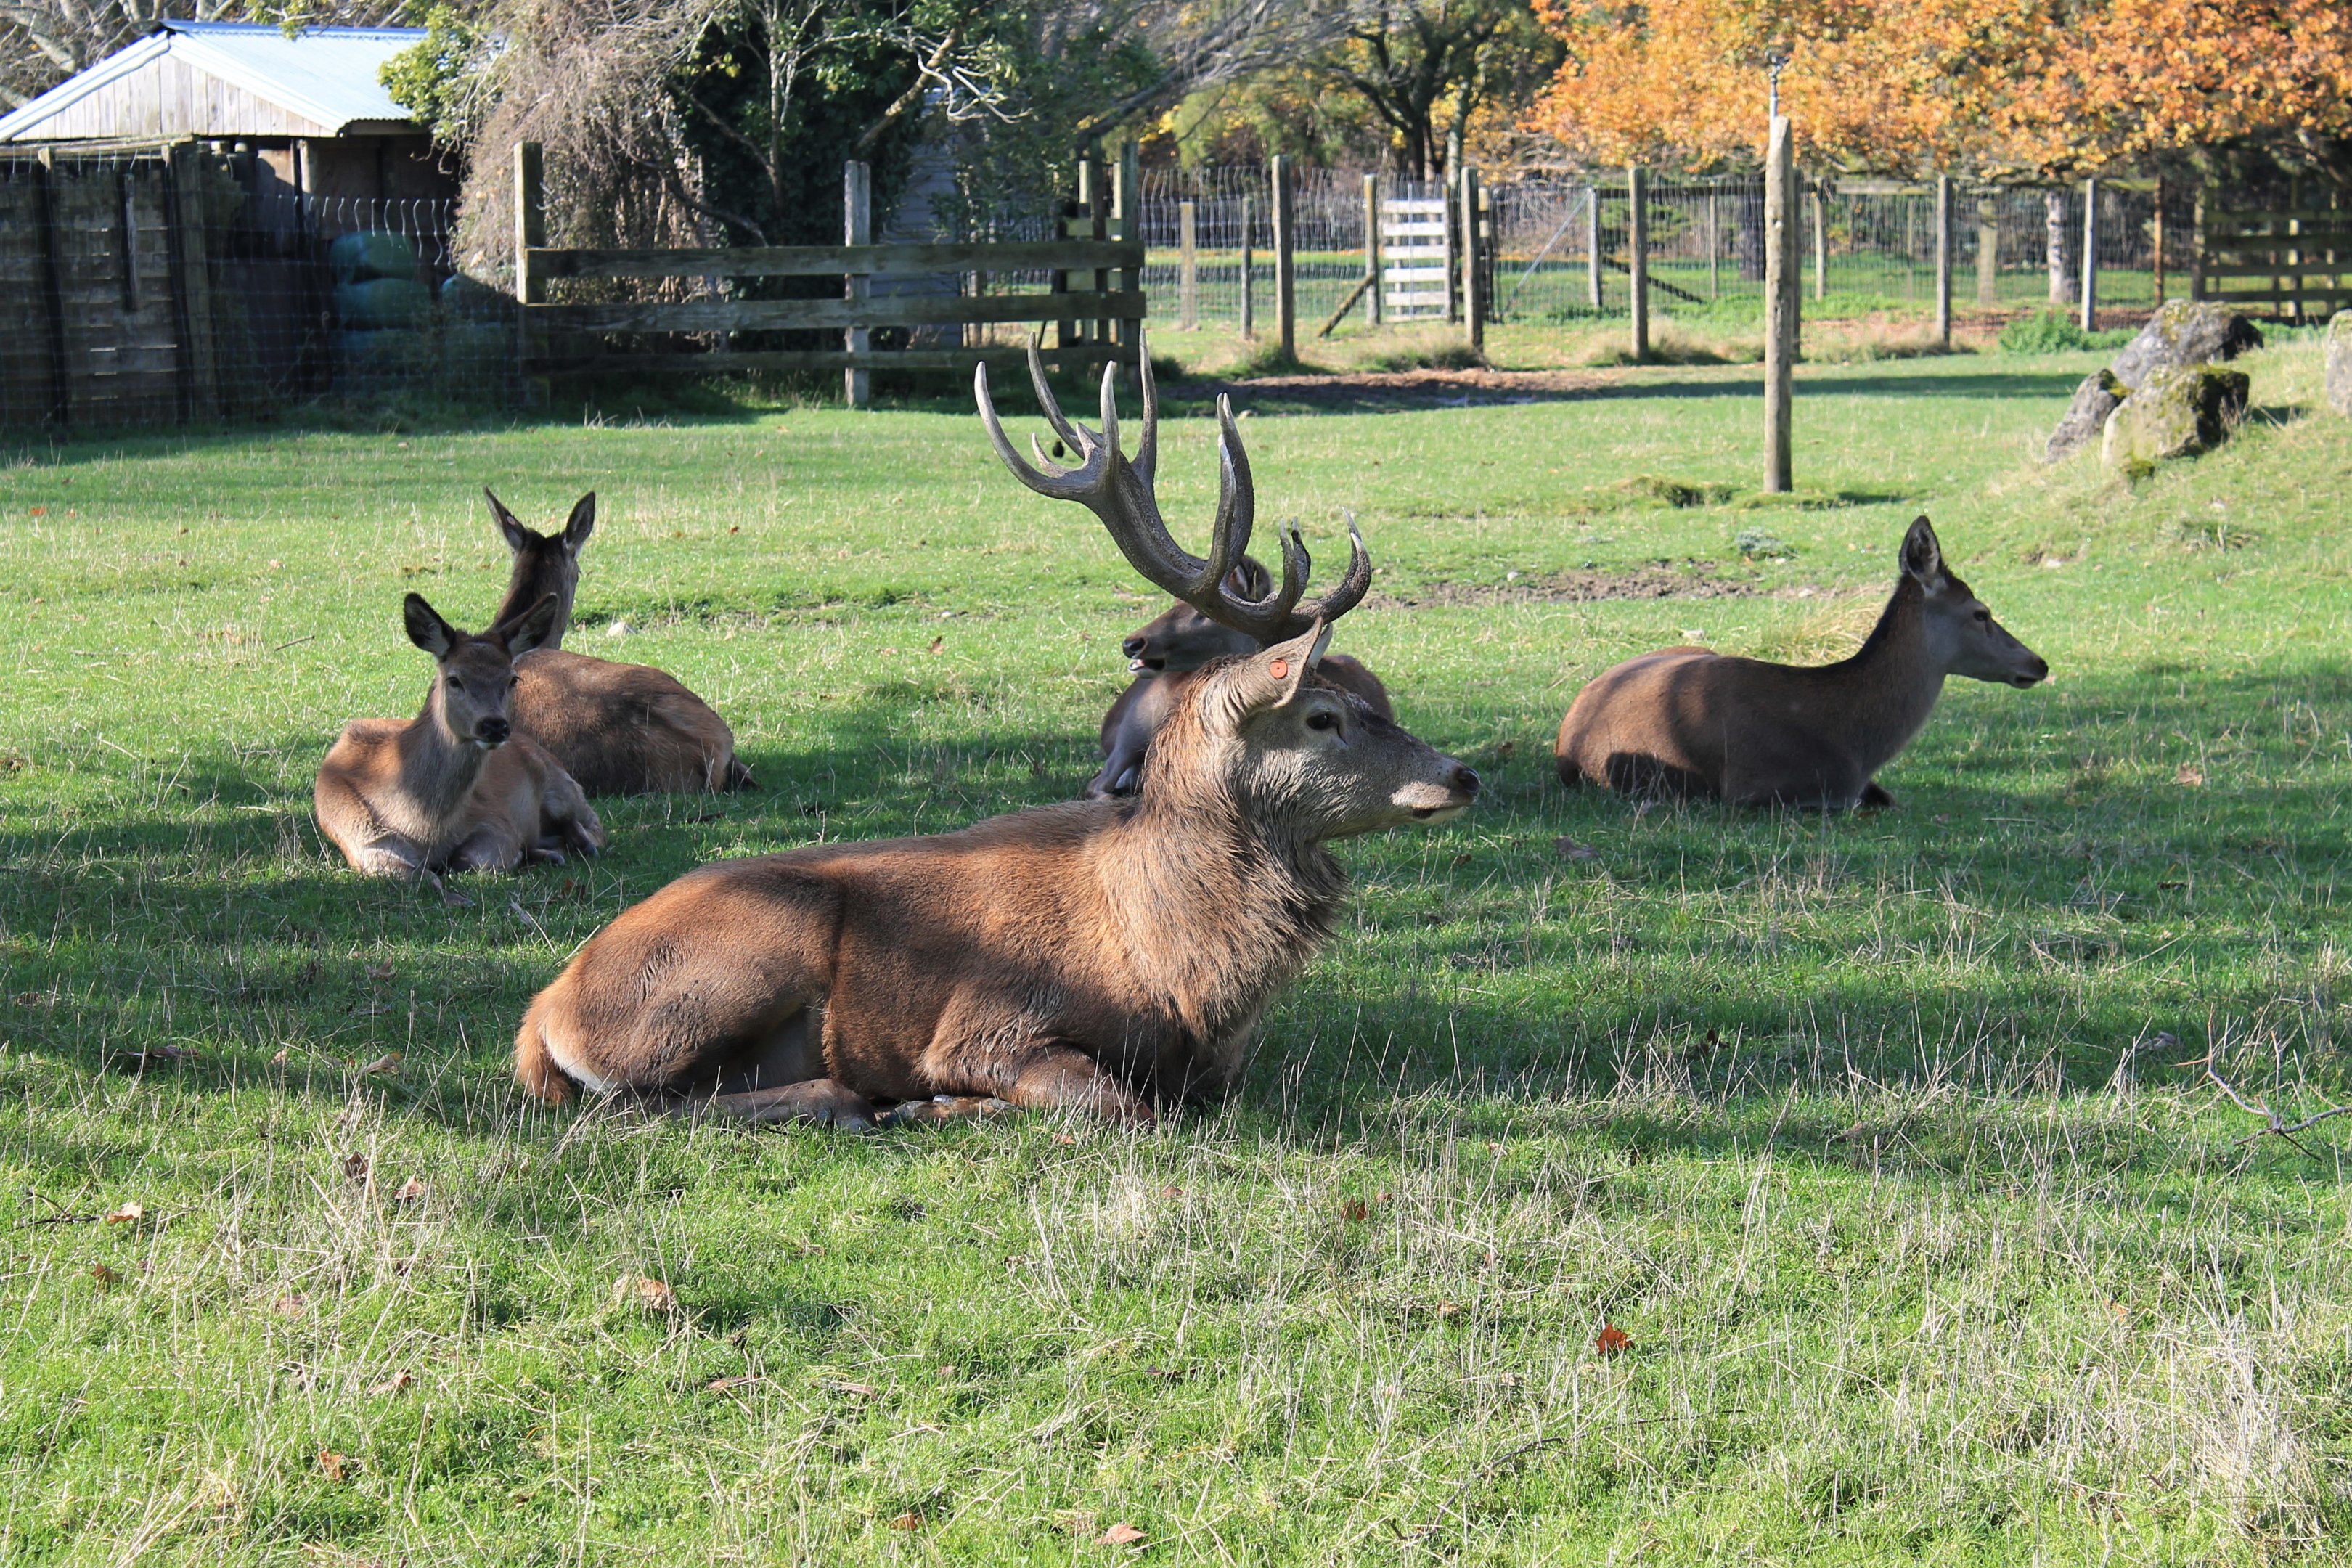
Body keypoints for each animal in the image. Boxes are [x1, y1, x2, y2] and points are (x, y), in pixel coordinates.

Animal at [315, 593, 605, 898]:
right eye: (454, 679)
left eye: (512, 678)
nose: (494, 725)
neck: (423, 826)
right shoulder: (362, 838)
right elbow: (411, 873)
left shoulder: (495, 820)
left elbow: (473, 860)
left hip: (561, 784)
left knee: (594, 828)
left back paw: (574, 846)